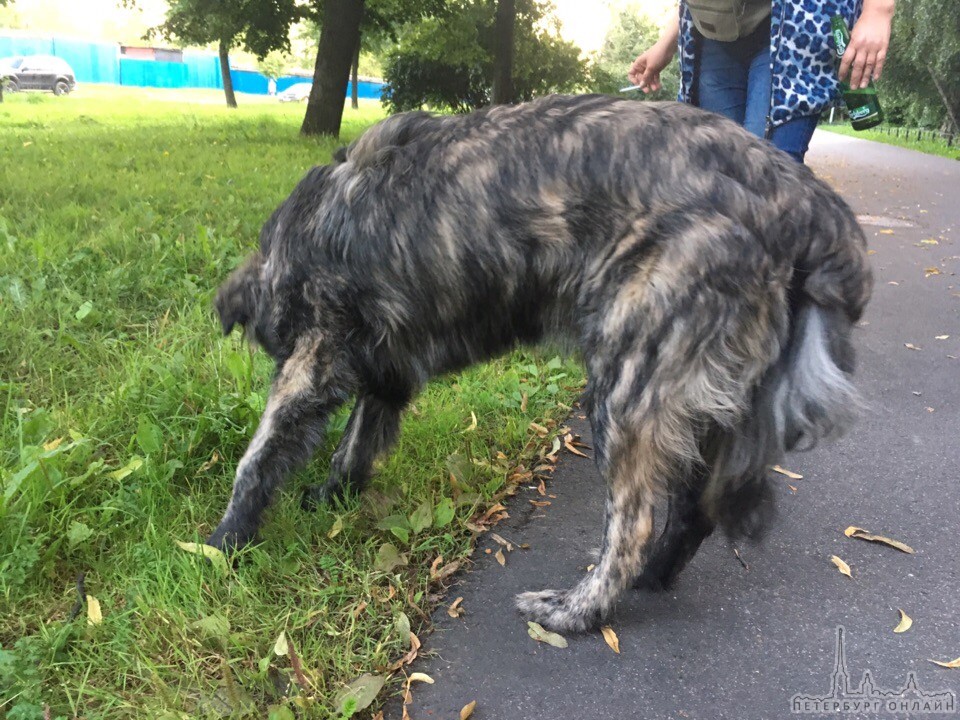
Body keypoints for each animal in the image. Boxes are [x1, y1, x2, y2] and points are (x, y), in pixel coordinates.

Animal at [206, 94, 872, 632]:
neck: (297, 240)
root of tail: (804, 202)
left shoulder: (314, 358)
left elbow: (257, 458)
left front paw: (223, 545)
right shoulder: (386, 368)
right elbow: (357, 440)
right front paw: (332, 493)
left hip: (625, 387)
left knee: (631, 524)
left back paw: (579, 610)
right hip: (709, 399)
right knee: (693, 509)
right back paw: (651, 578)